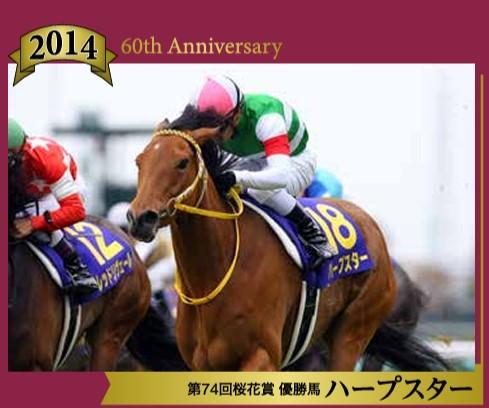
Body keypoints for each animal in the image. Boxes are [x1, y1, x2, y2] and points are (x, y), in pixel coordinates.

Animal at [128, 112, 447, 371]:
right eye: (139, 161)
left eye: (182, 162)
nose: (140, 218)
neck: (215, 273)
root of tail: (369, 223)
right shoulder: (202, 365)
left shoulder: (263, 356)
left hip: (354, 329)